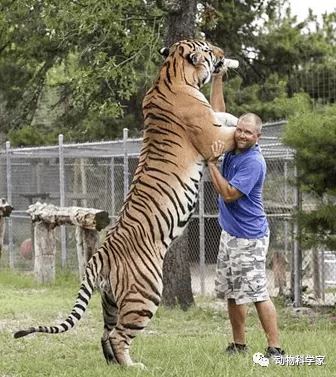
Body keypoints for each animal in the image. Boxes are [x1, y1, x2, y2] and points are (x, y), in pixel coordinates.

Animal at [13, 39, 239, 368]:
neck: (171, 73)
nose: (223, 55)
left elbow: (225, 117)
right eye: (210, 49)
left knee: (105, 333)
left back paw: (113, 365)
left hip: (110, 301)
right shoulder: (211, 138)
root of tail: (100, 255)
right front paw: (250, 126)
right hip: (145, 294)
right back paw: (134, 366)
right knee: (119, 335)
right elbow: (231, 131)